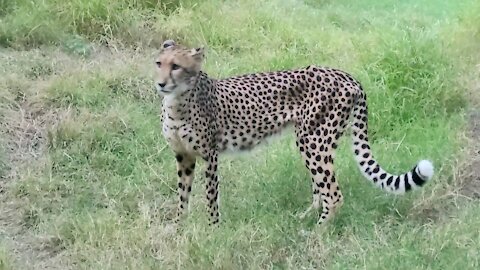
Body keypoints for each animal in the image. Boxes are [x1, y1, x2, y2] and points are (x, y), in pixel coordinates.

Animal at [154, 39, 436, 226]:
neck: (177, 102)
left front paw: (214, 229)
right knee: (321, 189)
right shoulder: (183, 156)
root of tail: (346, 75)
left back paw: (317, 232)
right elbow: (182, 194)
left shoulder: (210, 156)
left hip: (313, 141)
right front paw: (179, 227)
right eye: (159, 63)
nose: (160, 83)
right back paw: (306, 217)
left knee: (333, 194)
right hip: (319, 142)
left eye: (176, 66)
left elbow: (211, 197)